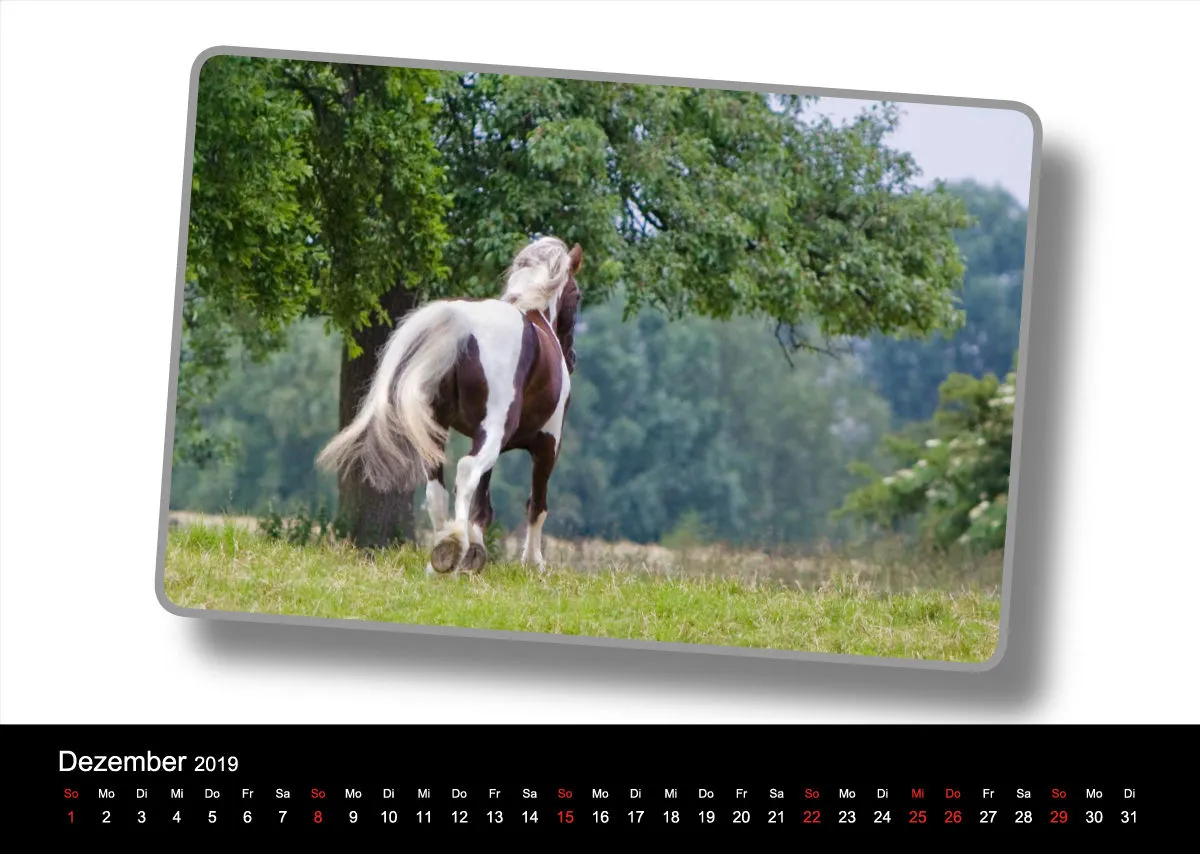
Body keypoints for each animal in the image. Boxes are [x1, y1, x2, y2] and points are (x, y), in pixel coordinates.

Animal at [316, 236, 582, 575]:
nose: (572, 358)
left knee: (436, 488)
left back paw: (443, 551)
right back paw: (454, 545)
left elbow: (483, 503)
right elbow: (536, 504)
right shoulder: (548, 444)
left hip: (438, 428)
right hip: (494, 432)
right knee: (466, 472)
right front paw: (533, 564)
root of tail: (461, 324)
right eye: (577, 294)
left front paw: (477, 554)